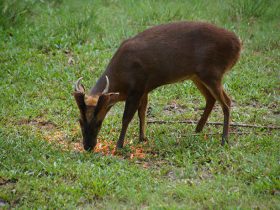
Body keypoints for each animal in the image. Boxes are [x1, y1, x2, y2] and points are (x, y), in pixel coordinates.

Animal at [73, 20, 242, 151]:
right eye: (80, 121)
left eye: (99, 123)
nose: (88, 147)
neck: (121, 78)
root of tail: (238, 44)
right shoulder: (144, 89)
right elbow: (142, 113)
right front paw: (142, 138)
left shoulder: (137, 87)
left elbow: (127, 118)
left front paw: (119, 145)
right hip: (197, 76)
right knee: (210, 99)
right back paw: (198, 129)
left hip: (213, 72)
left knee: (227, 102)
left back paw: (224, 139)